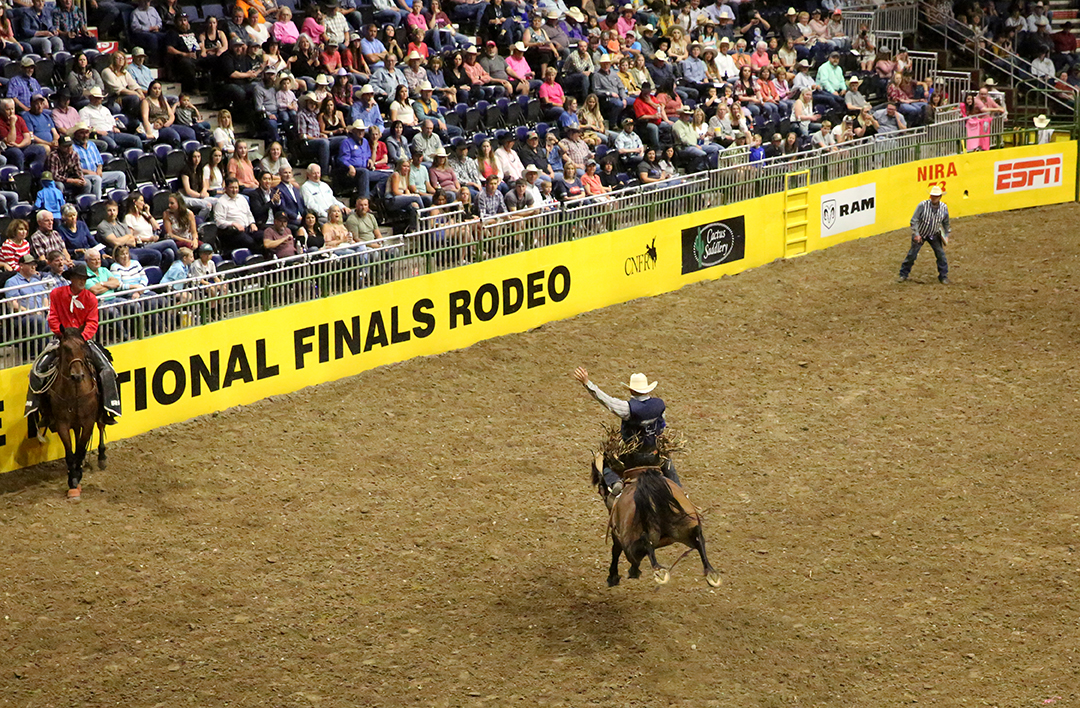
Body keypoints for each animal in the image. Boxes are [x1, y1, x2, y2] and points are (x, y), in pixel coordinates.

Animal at [596, 453, 721, 587]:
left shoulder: (617, 535)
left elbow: (616, 551)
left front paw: (613, 577)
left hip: (630, 544)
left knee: (641, 548)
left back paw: (657, 572)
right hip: (684, 532)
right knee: (698, 539)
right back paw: (711, 573)